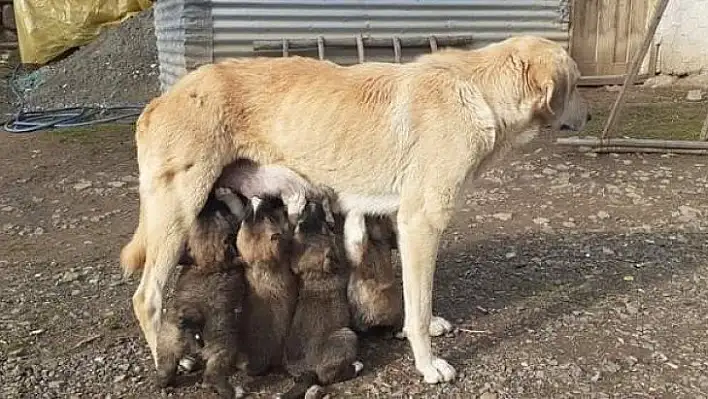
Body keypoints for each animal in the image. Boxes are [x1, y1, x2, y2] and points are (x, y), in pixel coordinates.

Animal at [155, 192, 246, 398]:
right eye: (223, 211)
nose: (209, 202)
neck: (207, 262)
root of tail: (192, 317)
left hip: (169, 337)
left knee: (166, 364)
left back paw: (163, 382)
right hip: (222, 344)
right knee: (213, 372)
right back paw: (230, 391)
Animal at [280, 203, 362, 399]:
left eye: (300, 224)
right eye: (325, 229)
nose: (311, 203)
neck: (315, 274)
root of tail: (307, 371)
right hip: (347, 334)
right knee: (327, 377)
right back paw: (356, 367)